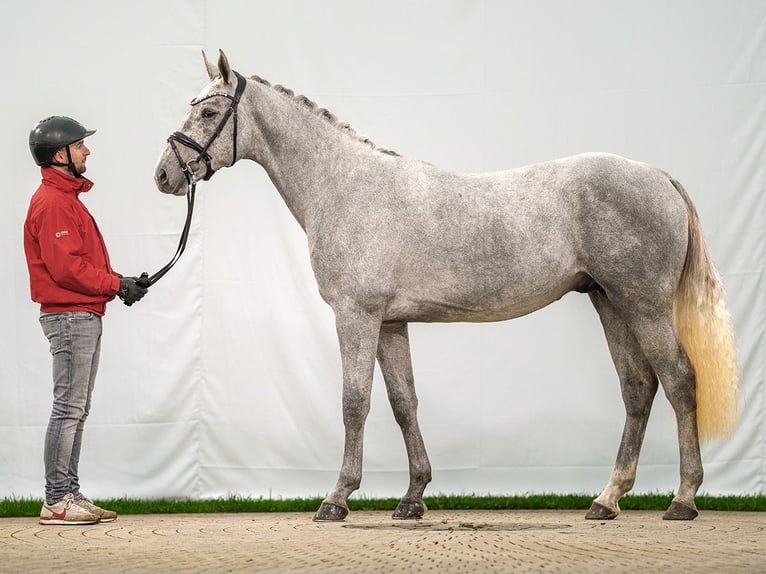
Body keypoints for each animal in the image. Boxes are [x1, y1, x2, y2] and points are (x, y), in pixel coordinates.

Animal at [154, 51, 736, 524]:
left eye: (209, 113)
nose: (164, 175)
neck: (344, 186)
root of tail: (658, 176)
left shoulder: (357, 315)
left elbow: (354, 401)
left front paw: (337, 499)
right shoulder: (391, 322)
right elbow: (403, 402)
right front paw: (413, 498)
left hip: (644, 305)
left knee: (679, 380)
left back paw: (683, 499)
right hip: (609, 302)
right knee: (637, 388)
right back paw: (606, 499)